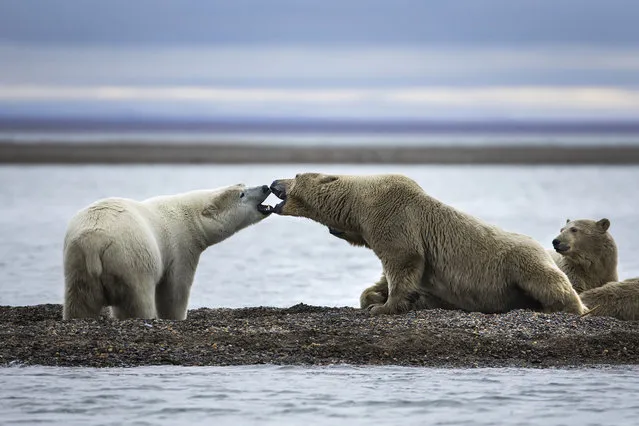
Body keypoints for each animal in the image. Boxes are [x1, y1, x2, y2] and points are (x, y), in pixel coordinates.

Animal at [64, 183, 272, 320]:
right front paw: (176, 316)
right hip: (131, 259)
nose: (265, 187)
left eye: (244, 185)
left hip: (77, 261)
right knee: (137, 298)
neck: (187, 214)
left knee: (80, 300)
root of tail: (94, 240)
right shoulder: (180, 246)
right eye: (242, 194)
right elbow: (175, 288)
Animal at [268, 173, 588, 316]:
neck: (360, 202)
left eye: (294, 175)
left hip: (521, 263)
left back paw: (574, 307)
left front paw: (384, 306)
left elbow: (403, 259)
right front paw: (373, 297)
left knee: (550, 283)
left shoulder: (394, 216)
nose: (273, 182)